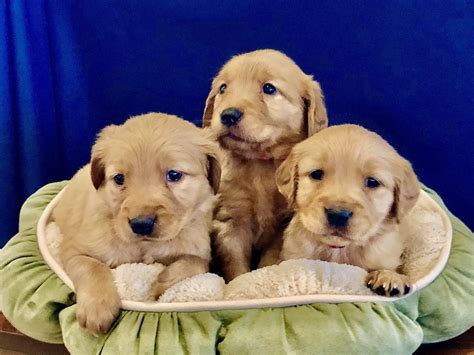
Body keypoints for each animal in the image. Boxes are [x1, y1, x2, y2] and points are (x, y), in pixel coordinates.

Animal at [53, 113, 220, 334]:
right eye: (119, 178)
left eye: (174, 175)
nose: (141, 224)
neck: (145, 245)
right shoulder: (73, 249)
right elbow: (93, 267)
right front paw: (97, 308)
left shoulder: (200, 250)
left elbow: (196, 262)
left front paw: (162, 282)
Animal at [202, 48, 328, 282]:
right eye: (223, 88)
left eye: (269, 88)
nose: (228, 115)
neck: (260, 164)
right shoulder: (231, 222)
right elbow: (236, 265)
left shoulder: (281, 226)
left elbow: (269, 260)